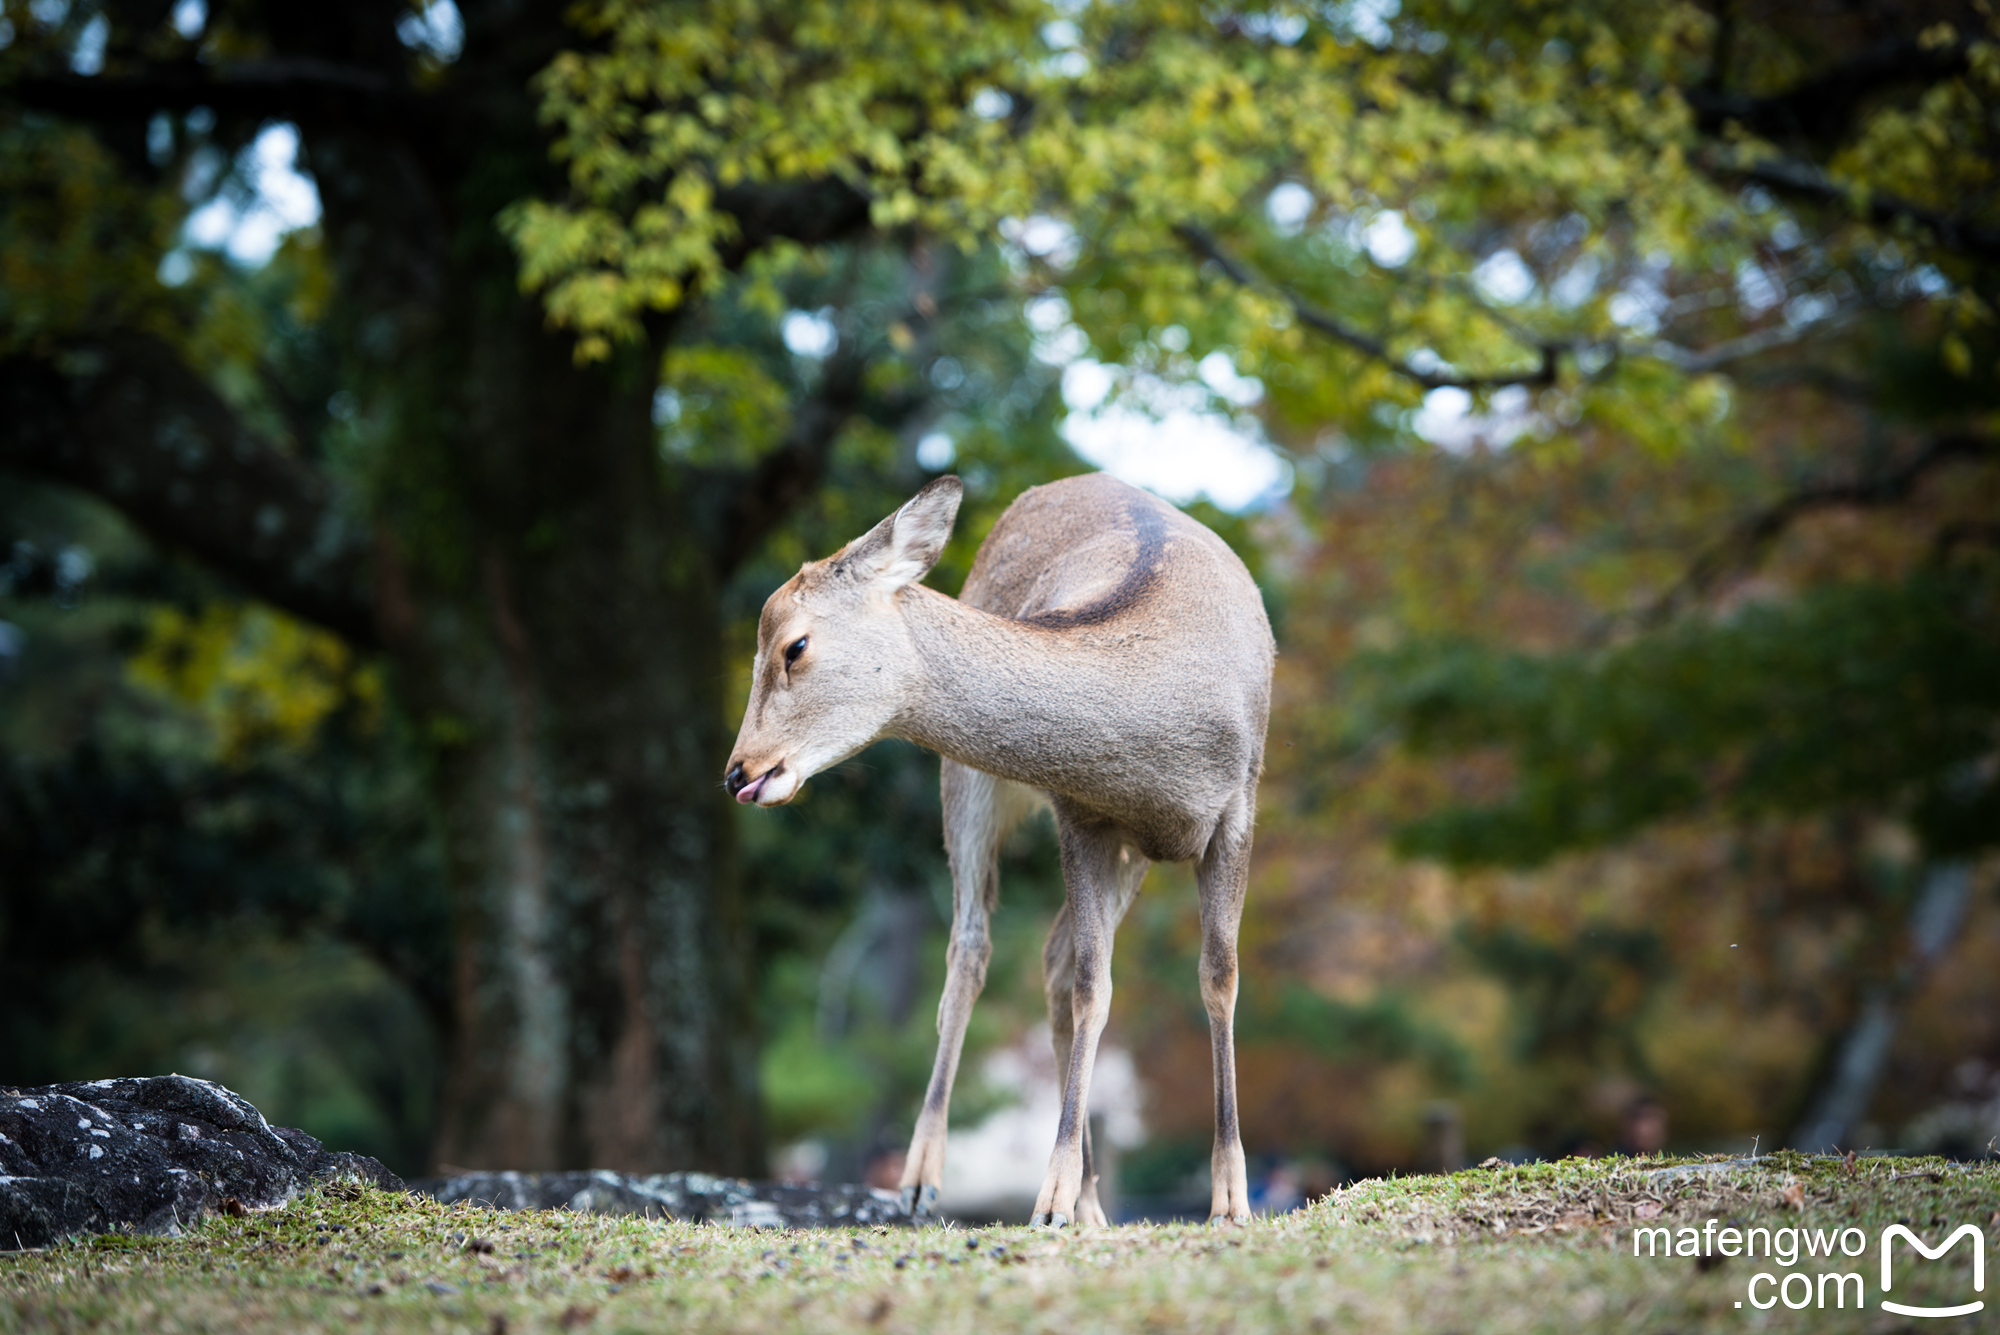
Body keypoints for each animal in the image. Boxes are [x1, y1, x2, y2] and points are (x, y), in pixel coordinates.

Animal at [728, 473, 1272, 1223]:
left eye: (794, 646)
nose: (738, 771)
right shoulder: (1081, 813)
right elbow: (1092, 985)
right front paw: (1050, 1196)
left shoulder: (1237, 806)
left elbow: (1218, 976)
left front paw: (1230, 1199)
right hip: (964, 781)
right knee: (973, 947)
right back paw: (928, 1180)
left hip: (1127, 853)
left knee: (1048, 959)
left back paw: (1091, 1206)